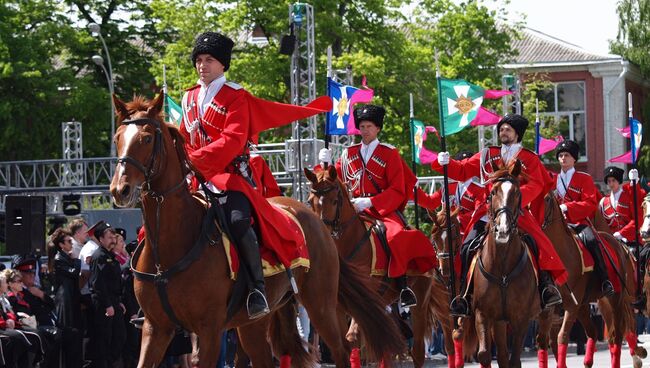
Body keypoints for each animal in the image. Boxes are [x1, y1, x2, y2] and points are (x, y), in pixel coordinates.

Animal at [110, 93, 404, 368]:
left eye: (147, 139)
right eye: (117, 137)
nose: (119, 190)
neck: (172, 243)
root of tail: (318, 226)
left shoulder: (209, 329)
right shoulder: (155, 328)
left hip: (320, 304)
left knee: (343, 348)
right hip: (256, 321)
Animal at [304, 167, 440, 368]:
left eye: (334, 200)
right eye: (310, 201)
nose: (323, 234)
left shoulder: (365, 301)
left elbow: (352, 339)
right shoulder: (336, 307)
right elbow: (343, 345)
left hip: (420, 302)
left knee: (417, 350)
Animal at [470, 162, 536, 368]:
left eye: (517, 193)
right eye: (493, 192)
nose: (503, 230)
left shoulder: (521, 318)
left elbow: (515, 359)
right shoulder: (483, 314)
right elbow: (484, 354)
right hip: (499, 322)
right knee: (501, 355)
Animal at [536, 193, 636, 368]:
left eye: (547, 198)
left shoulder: (572, 306)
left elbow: (562, 337)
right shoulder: (551, 310)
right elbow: (546, 341)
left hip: (614, 299)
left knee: (616, 335)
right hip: (587, 306)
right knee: (594, 333)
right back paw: (588, 361)